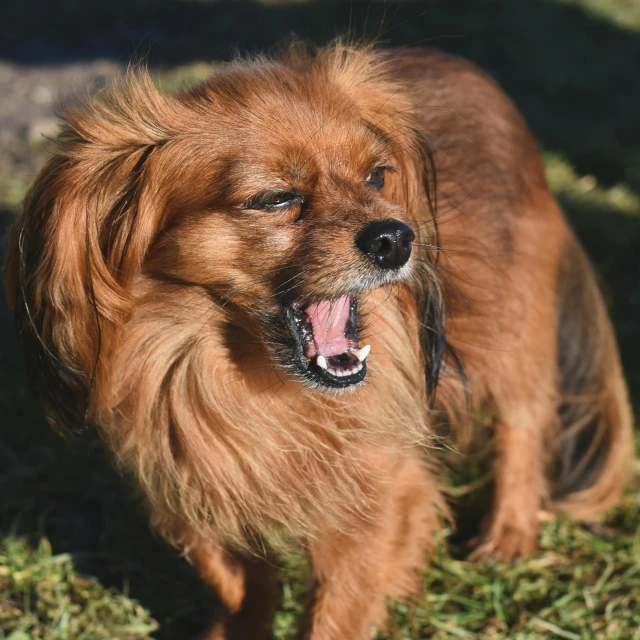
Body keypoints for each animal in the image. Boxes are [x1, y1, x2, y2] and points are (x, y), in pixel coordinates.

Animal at [3, 42, 636, 636]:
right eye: (275, 198)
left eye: (378, 176)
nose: (396, 238)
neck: (243, 379)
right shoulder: (197, 484)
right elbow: (239, 581)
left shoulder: (376, 495)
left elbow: (335, 614)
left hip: (514, 328)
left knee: (522, 427)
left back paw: (508, 534)